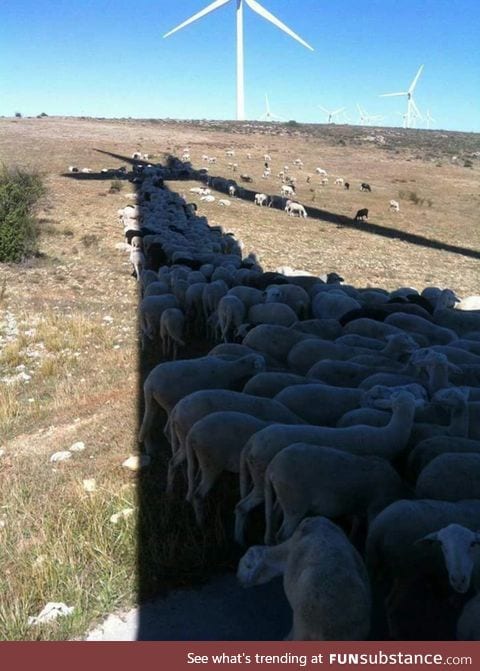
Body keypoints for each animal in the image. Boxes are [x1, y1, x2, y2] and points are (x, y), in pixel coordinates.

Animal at [264, 444, 406, 544]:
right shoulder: (376, 505)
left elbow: (357, 522)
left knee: (274, 514)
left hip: (283, 497)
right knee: (283, 534)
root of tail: (272, 466)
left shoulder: (358, 507)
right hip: (294, 502)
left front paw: (352, 539)